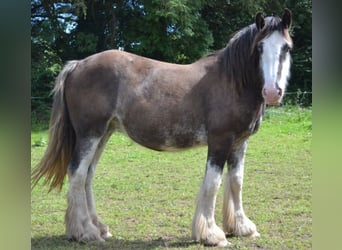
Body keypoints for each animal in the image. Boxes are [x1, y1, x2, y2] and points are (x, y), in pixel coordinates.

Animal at [32, 9, 292, 246]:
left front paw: (242, 227)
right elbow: (213, 184)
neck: (232, 82)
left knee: (87, 175)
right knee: (77, 173)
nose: (272, 92)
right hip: (90, 134)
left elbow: (236, 181)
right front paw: (211, 234)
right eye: (259, 47)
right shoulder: (220, 141)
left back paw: (99, 227)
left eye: (286, 48)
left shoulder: (239, 142)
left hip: (103, 133)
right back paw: (85, 232)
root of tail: (77, 65)